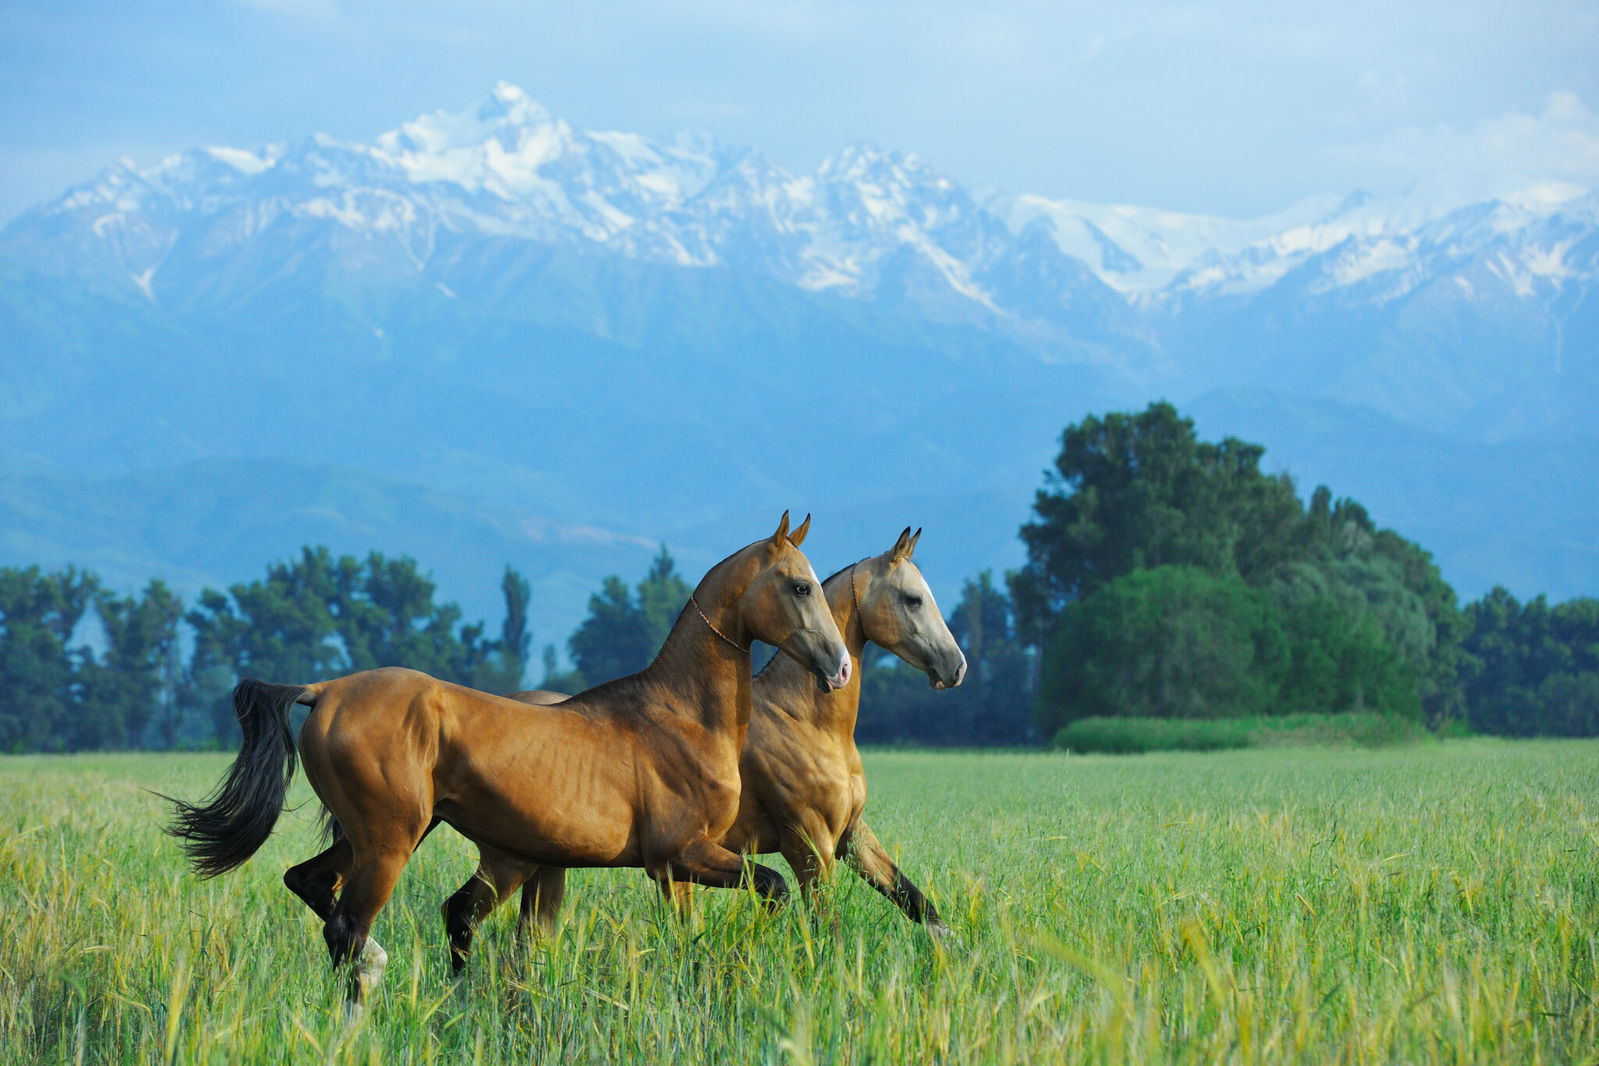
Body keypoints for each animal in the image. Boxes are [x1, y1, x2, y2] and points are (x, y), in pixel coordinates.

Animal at [165, 512, 849, 1013]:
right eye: (800, 586)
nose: (839, 668)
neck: (678, 718)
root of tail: (324, 689)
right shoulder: (681, 854)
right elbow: (774, 887)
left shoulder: (675, 867)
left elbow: (693, 931)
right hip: (390, 842)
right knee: (346, 927)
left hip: (389, 835)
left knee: (314, 885)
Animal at [441, 526, 967, 970]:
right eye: (913, 598)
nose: (956, 667)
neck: (806, 723)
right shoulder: (808, 842)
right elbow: (825, 924)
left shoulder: (851, 834)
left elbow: (916, 901)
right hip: (512, 859)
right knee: (468, 915)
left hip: (546, 863)